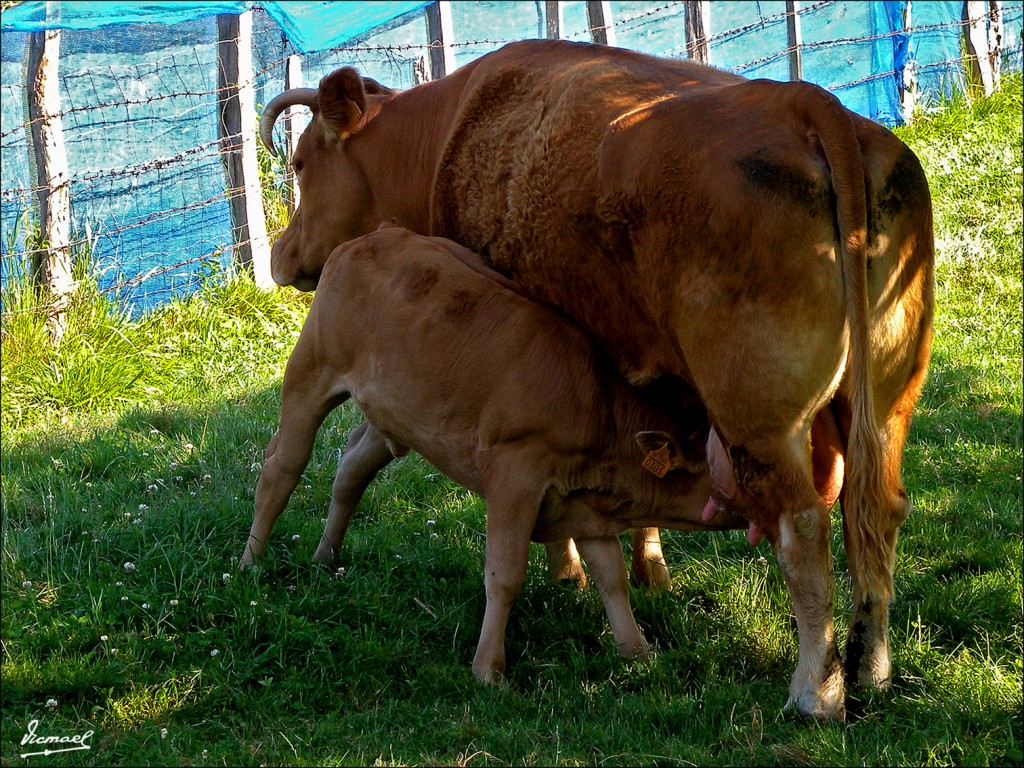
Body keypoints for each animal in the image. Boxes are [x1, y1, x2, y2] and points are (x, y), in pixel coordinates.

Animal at [240, 228, 741, 684]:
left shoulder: (583, 499)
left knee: (350, 468)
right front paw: (488, 669)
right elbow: (504, 574)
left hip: (391, 413)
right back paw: (250, 563)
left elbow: (612, 576)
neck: (595, 404)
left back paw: (325, 556)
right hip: (309, 372)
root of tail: (372, 236)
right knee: (280, 469)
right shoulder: (515, 475)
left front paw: (637, 651)